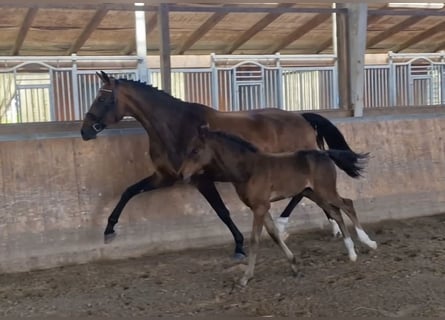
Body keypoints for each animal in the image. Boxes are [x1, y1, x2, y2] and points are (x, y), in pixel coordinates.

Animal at [81, 70, 366, 260]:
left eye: (103, 99)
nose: (85, 131)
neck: (176, 127)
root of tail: (302, 117)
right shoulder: (165, 176)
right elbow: (128, 191)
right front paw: (109, 230)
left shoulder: (200, 179)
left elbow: (222, 212)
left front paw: (239, 247)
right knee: (311, 194)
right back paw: (331, 226)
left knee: (302, 194)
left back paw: (285, 226)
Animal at [179, 126, 376, 286]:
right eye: (187, 149)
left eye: (195, 150)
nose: (181, 174)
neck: (249, 169)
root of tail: (325, 153)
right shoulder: (260, 207)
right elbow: (274, 234)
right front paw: (294, 266)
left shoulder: (259, 207)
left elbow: (255, 240)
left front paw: (245, 278)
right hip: (313, 193)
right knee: (336, 213)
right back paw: (351, 253)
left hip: (326, 191)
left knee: (347, 204)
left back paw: (369, 242)